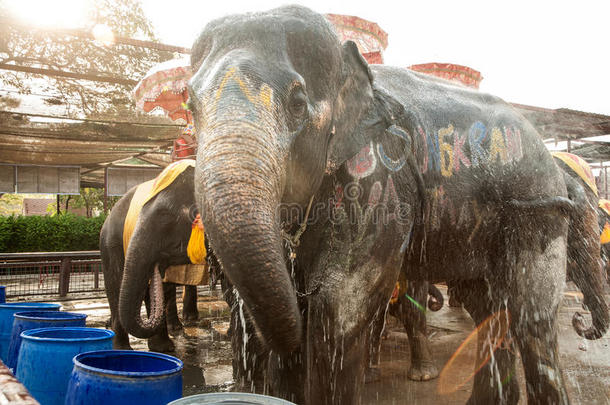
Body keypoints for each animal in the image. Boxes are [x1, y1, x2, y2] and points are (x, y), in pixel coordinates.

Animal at [178, 4, 604, 402]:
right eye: (190, 105)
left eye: (298, 103)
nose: (583, 324)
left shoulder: (376, 180)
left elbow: (339, 308)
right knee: (485, 307)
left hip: (536, 208)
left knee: (532, 317)